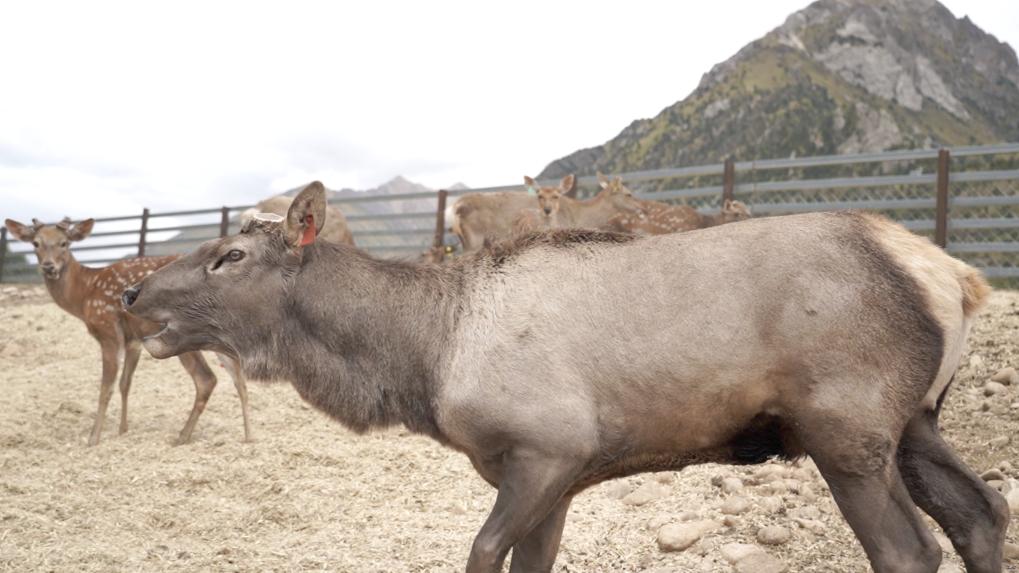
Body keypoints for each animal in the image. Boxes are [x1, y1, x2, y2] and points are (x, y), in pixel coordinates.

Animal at [4, 217, 253, 446]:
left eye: (64, 243)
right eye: (35, 243)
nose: (49, 266)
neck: (84, 295)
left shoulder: (107, 330)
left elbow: (106, 387)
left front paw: (93, 438)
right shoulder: (134, 340)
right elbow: (125, 383)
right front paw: (123, 430)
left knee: (206, 379)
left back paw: (182, 437)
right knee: (239, 377)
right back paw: (248, 436)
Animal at [122, 181, 1007, 573]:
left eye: (230, 254)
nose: (132, 293)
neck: (422, 358)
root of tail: (955, 276)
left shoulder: (548, 446)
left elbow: (482, 552)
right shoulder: (556, 475)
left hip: (843, 423)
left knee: (908, 549)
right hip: (914, 419)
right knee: (981, 511)